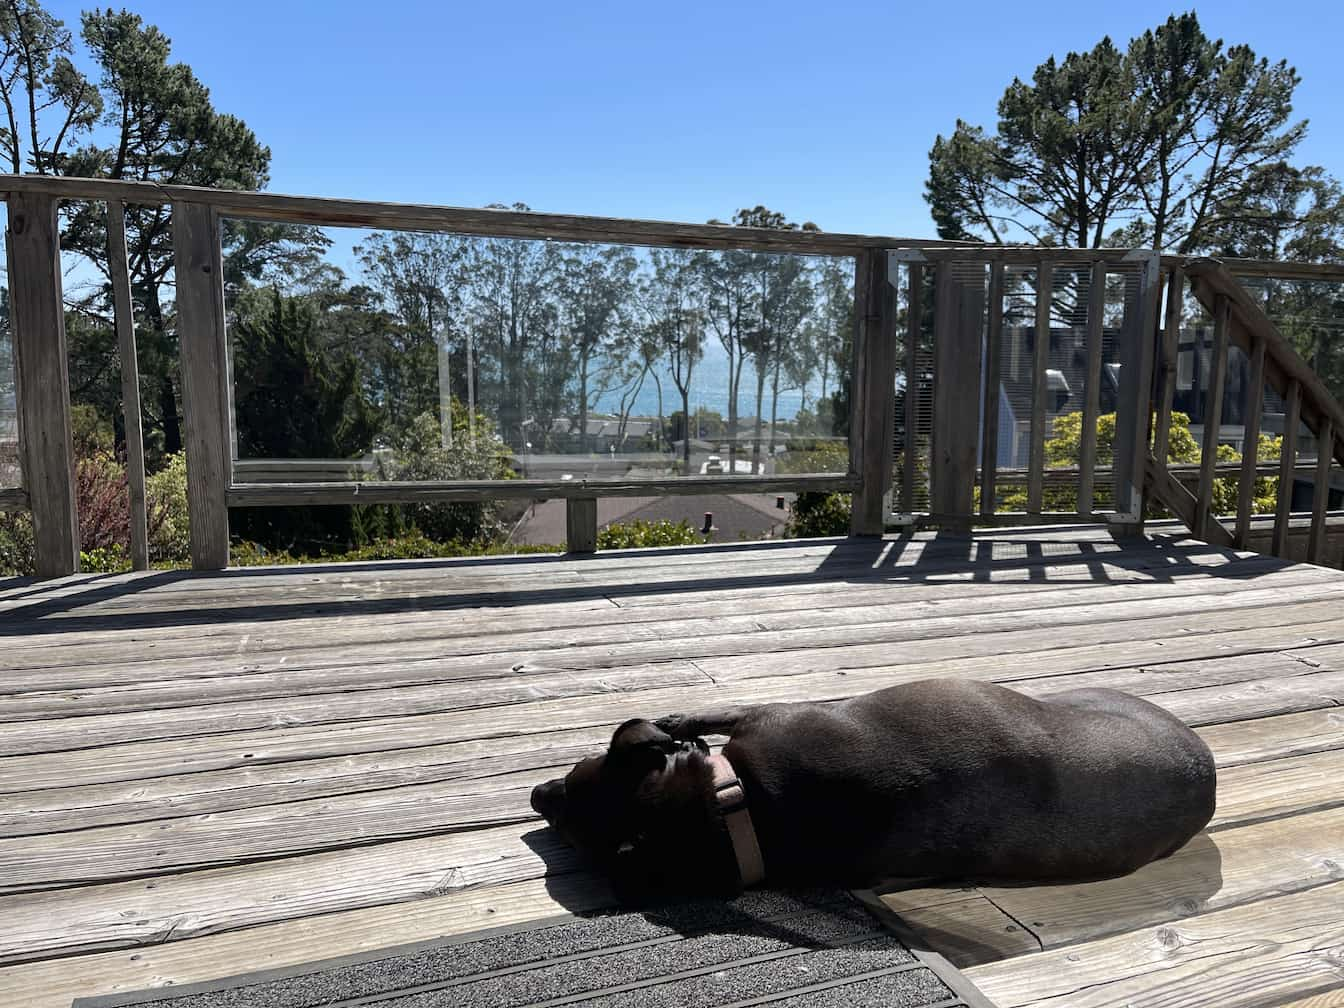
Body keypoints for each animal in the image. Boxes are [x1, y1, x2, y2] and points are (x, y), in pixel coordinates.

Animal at [532, 680, 1220, 908]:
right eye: (565, 815)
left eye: (573, 775)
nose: (538, 794)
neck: (744, 808)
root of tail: (1207, 771)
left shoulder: (767, 713)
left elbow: (704, 711)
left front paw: (675, 721)